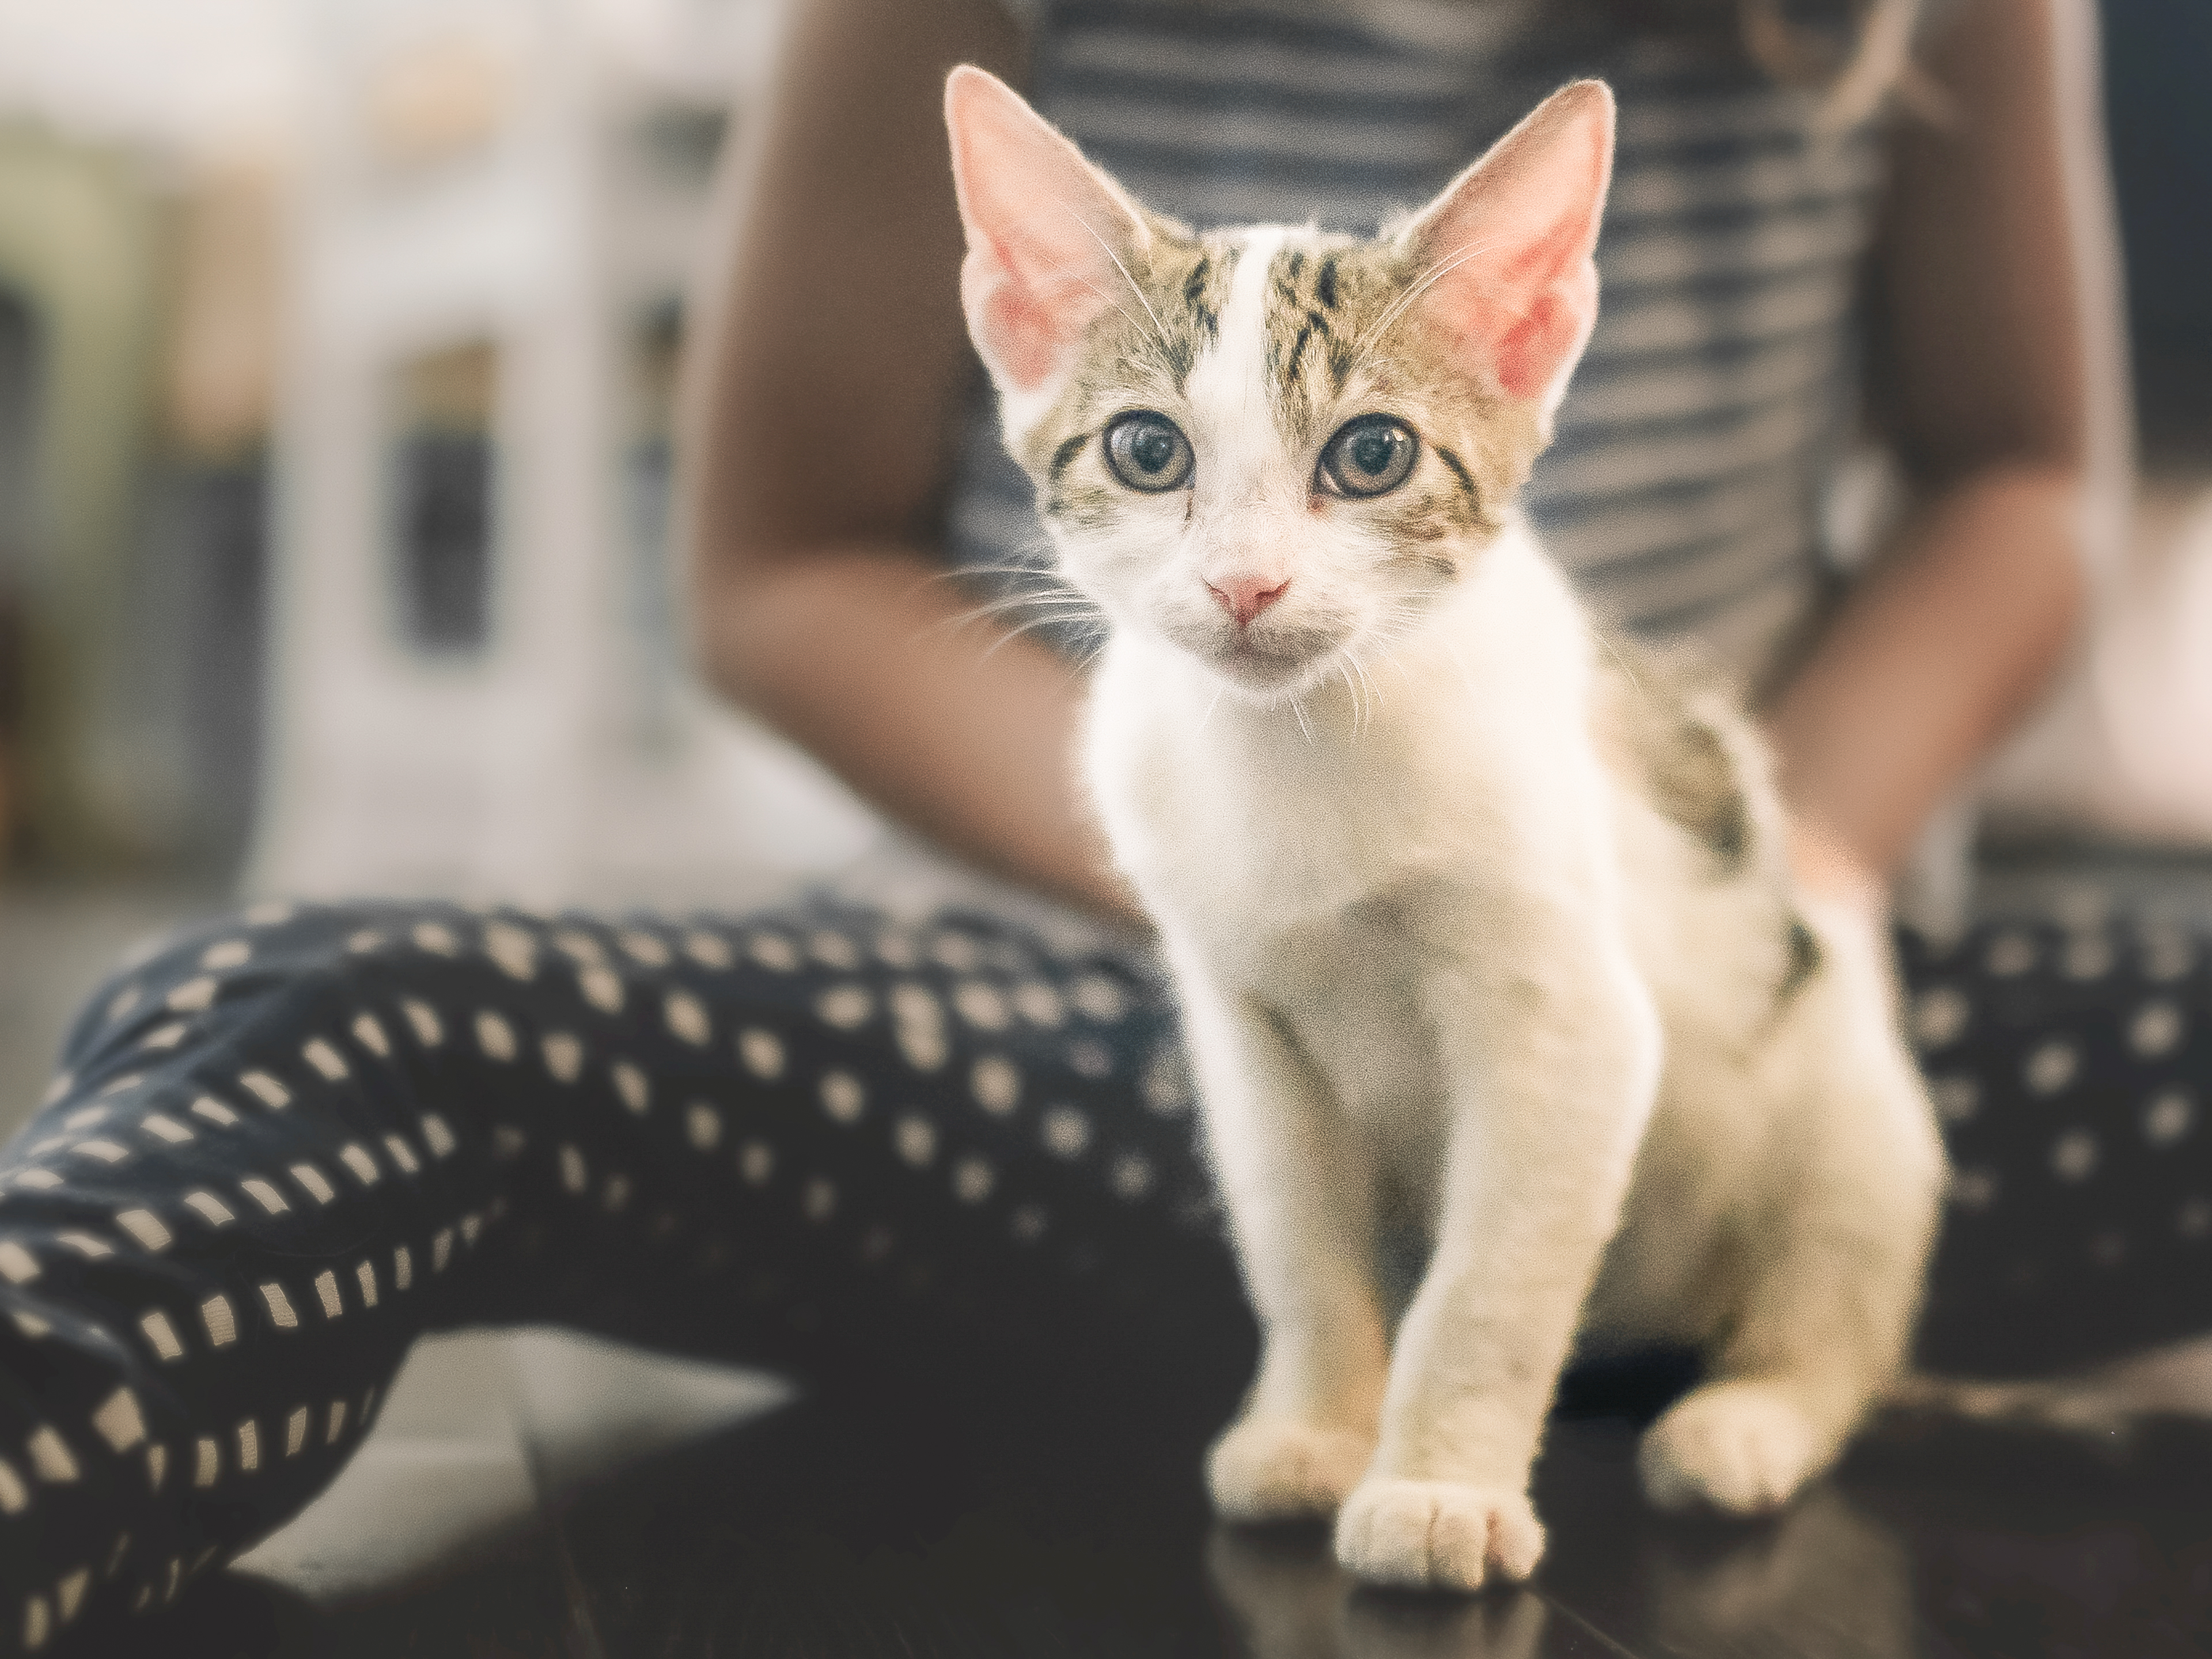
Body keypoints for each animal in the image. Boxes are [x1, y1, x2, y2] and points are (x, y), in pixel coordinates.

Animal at [942, 68, 1946, 1601]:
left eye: (1371, 455)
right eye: (1146, 450)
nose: (1245, 585)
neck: (1301, 745)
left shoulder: (1570, 1027)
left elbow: (1486, 1288)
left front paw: (1434, 1488)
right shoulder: (1243, 1031)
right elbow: (1301, 1251)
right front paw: (1312, 1430)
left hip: (1848, 1106)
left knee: (1833, 1305)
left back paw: (1750, 1418)